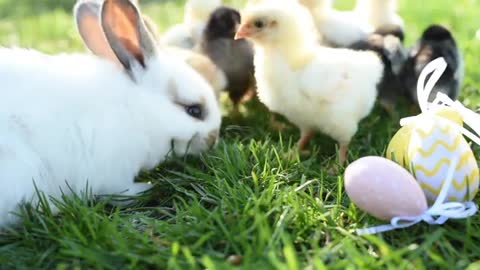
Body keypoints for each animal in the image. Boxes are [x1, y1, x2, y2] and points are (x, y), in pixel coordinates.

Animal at [0, 0, 221, 228]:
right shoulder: (114, 174)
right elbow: (121, 192)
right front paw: (148, 187)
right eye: (194, 110)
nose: (213, 140)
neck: (137, 110)